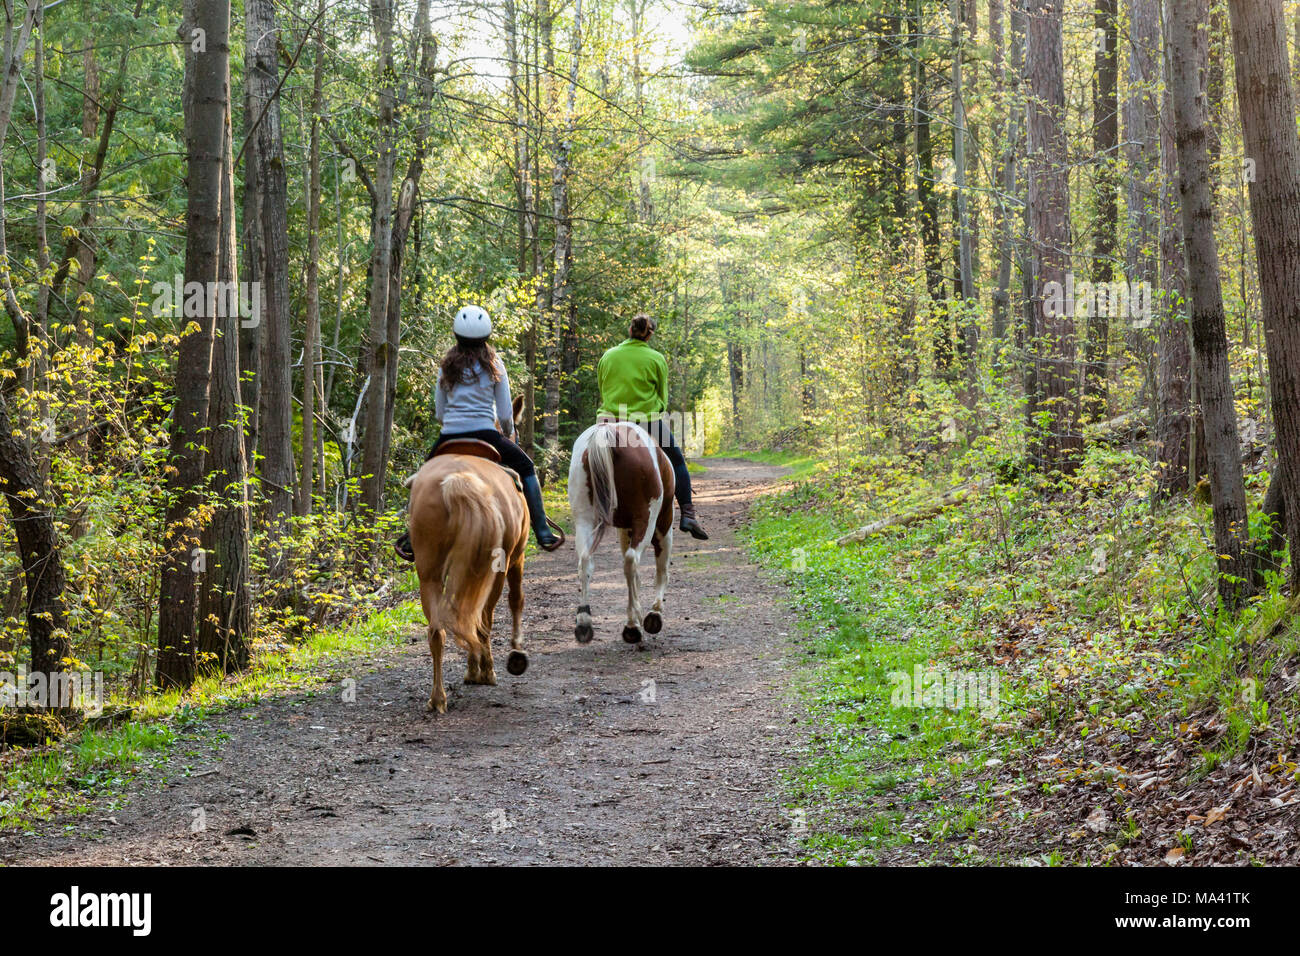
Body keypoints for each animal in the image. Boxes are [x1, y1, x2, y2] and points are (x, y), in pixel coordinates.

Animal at [406, 396, 530, 713]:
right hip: (495, 567)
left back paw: (437, 699)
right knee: (482, 619)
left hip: (428, 571)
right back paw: (486, 672)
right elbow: (514, 601)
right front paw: (485, 668)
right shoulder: (516, 559)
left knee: (439, 630)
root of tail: (457, 478)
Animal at [568, 419, 674, 645]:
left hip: (584, 519)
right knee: (632, 560)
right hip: (646, 518)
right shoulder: (664, 523)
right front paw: (654, 613)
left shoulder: (625, 528)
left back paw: (584, 623)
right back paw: (634, 625)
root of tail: (607, 433)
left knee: (585, 562)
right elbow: (662, 569)